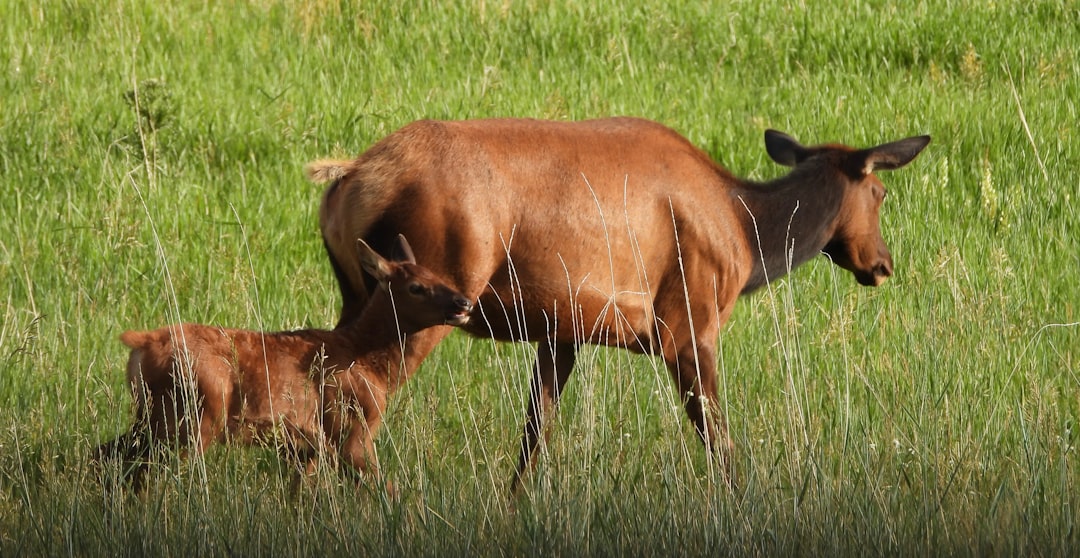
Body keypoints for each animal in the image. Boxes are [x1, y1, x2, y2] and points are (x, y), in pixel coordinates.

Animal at [306, 117, 931, 492]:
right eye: (880, 193)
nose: (882, 264)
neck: (745, 237)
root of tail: (349, 181)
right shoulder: (689, 318)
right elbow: (717, 437)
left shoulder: (562, 327)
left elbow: (535, 434)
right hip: (428, 290)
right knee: (355, 413)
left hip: (357, 292)